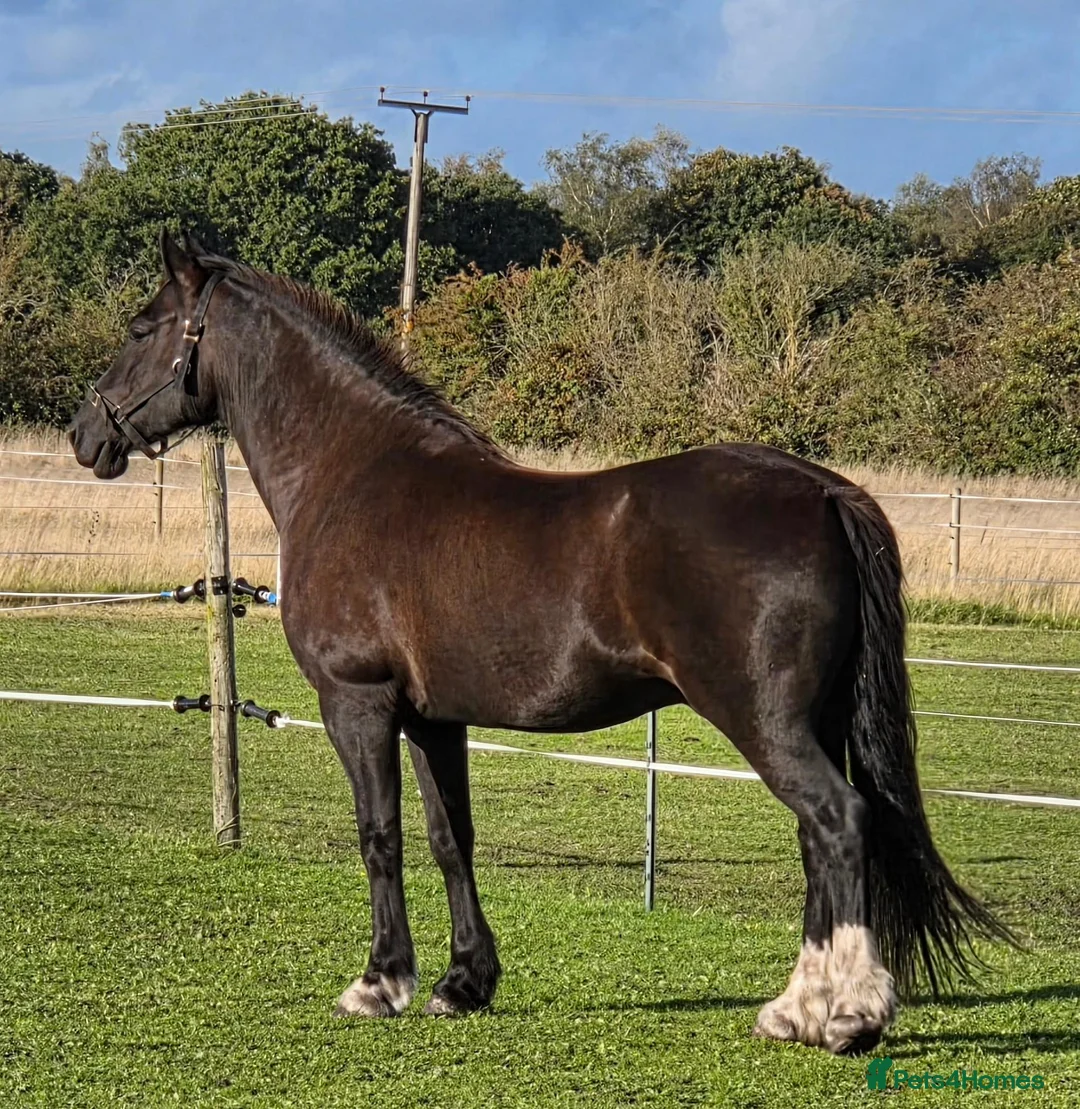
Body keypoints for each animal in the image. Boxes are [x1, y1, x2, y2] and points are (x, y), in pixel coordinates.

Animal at [67, 230, 1014, 1055]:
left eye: (142, 328)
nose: (86, 433)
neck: (351, 475)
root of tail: (820, 492)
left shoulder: (357, 702)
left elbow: (379, 833)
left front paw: (380, 982)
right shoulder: (433, 718)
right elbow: (451, 836)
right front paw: (463, 982)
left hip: (766, 722)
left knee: (836, 820)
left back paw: (847, 1016)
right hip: (808, 723)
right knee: (818, 837)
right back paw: (796, 1008)